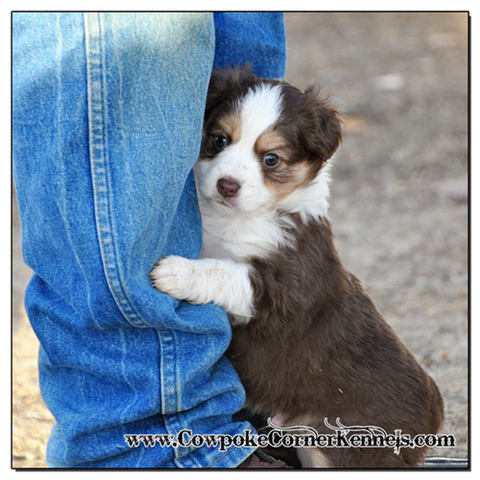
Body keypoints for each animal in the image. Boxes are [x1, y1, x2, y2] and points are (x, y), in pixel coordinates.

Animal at [151, 65, 446, 466]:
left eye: (271, 158)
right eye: (220, 139)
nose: (227, 185)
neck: (237, 220)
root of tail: (434, 416)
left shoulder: (280, 289)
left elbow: (221, 270)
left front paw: (174, 271)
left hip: (345, 448)